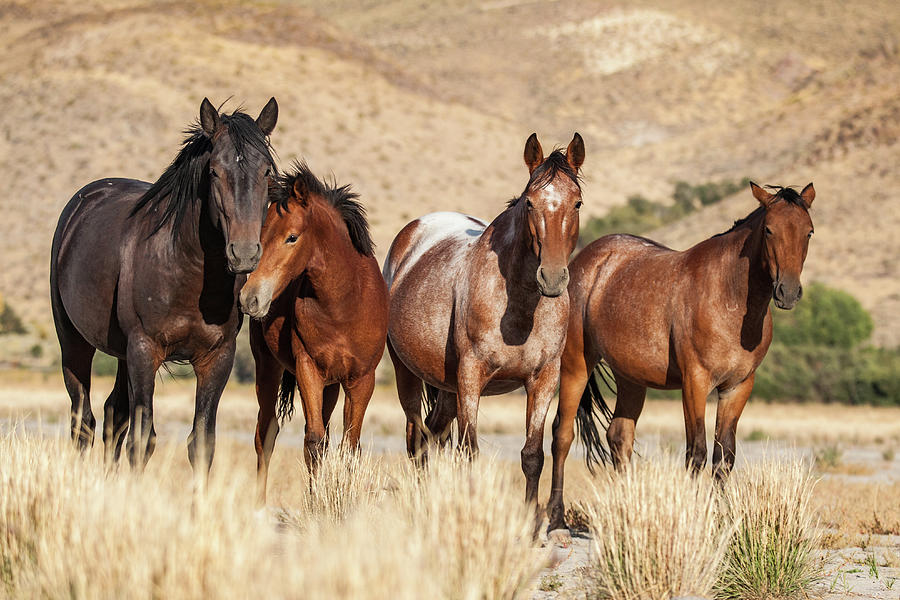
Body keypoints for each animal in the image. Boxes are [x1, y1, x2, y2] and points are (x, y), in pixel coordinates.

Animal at [51, 96, 278, 476]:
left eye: (266, 172)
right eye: (214, 171)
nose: (244, 253)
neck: (187, 271)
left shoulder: (217, 358)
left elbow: (202, 443)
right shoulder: (145, 350)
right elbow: (142, 440)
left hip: (121, 353)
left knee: (114, 415)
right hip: (74, 343)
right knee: (83, 421)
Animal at [239, 162, 386, 504]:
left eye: (292, 237)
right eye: (261, 235)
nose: (250, 298)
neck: (344, 303)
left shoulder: (362, 379)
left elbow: (349, 445)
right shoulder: (308, 368)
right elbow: (313, 441)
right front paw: (316, 502)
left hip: (332, 386)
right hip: (269, 369)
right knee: (265, 434)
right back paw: (259, 504)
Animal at [384, 132, 588, 506]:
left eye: (577, 203)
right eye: (530, 203)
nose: (552, 278)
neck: (521, 310)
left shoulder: (544, 379)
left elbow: (532, 456)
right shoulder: (471, 375)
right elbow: (469, 451)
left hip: (446, 387)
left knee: (433, 433)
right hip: (408, 372)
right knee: (416, 440)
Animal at [548, 182, 816, 528]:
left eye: (809, 232)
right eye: (769, 230)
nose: (788, 292)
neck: (729, 296)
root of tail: (586, 260)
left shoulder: (738, 387)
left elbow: (724, 456)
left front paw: (720, 519)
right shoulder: (695, 382)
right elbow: (696, 452)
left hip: (631, 378)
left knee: (619, 437)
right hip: (575, 366)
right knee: (562, 435)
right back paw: (555, 519)